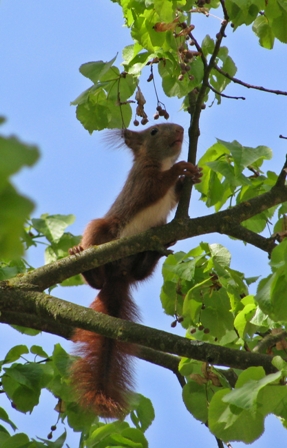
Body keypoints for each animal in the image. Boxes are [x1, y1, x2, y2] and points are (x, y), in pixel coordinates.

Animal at [69, 123, 202, 420]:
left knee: (142, 270)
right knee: (97, 277)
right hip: (104, 229)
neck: (161, 162)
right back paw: (82, 258)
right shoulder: (142, 181)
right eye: (154, 131)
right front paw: (181, 169)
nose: (180, 129)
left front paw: (193, 175)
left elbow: (176, 194)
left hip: (141, 259)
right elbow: (155, 187)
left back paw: (158, 249)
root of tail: (118, 276)